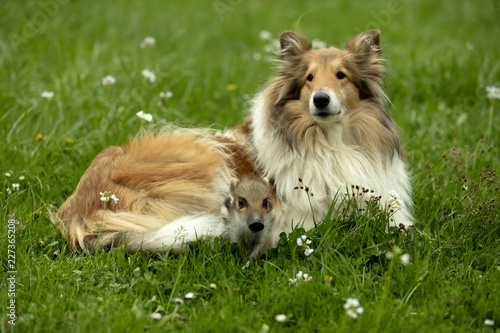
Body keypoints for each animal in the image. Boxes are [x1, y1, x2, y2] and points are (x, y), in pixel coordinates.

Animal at [55, 29, 414, 254]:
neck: (329, 141)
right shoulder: (298, 215)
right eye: (309, 78)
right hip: (205, 159)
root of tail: (79, 210)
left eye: (341, 75)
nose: (321, 100)